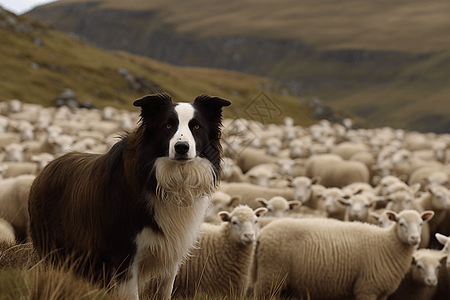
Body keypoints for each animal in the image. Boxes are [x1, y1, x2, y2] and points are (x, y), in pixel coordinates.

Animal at [28, 92, 232, 298]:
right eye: (168, 126)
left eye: (196, 126)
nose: (181, 147)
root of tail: (47, 168)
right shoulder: (125, 253)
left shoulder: (171, 253)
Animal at [251, 210, 434, 298]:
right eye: (401, 223)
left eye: (420, 223)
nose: (415, 238)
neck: (388, 244)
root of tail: (262, 234)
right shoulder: (366, 289)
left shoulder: (381, 293)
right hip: (271, 276)